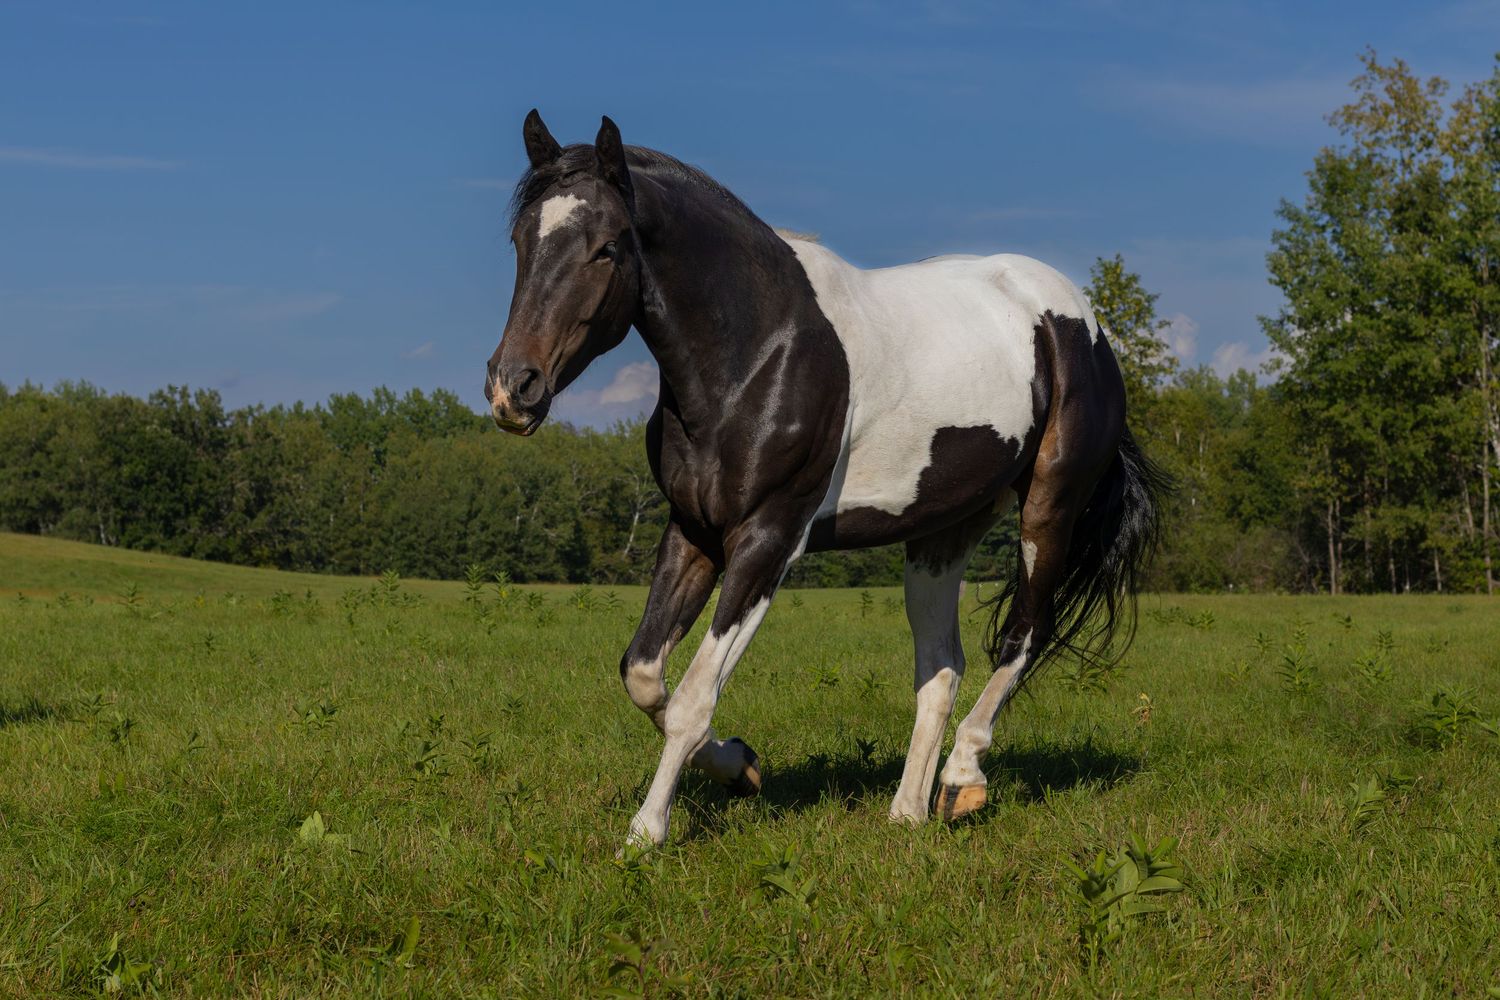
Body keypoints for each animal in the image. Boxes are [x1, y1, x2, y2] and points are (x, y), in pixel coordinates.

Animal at [485, 111, 1168, 849]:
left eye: (607, 247)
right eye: (521, 239)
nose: (513, 388)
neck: (758, 350)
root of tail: (1079, 321)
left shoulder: (769, 538)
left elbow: (695, 693)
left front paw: (646, 833)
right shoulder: (693, 530)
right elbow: (643, 673)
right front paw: (739, 766)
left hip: (1049, 510)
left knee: (1023, 635)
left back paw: (963, 779)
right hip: (944, 532)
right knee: (942, 668)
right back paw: (908, 812)